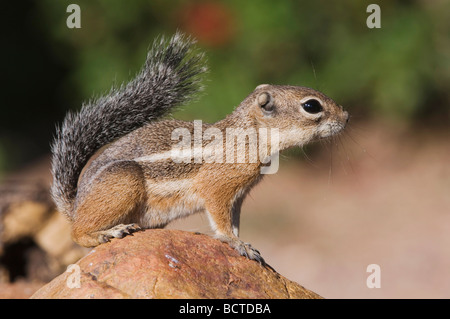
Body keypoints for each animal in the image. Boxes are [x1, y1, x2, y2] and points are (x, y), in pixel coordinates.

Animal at [51, 31, 350, 264]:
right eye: (311, 106)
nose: (347, 117)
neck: (248, 136)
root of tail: (75, 203)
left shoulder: (239, 194)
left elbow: (234, 220)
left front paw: (240, 239)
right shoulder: (218, 187)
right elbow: (220, 218)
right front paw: (236, 243)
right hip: (124, 182)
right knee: (77, 232)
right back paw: (108, 232)